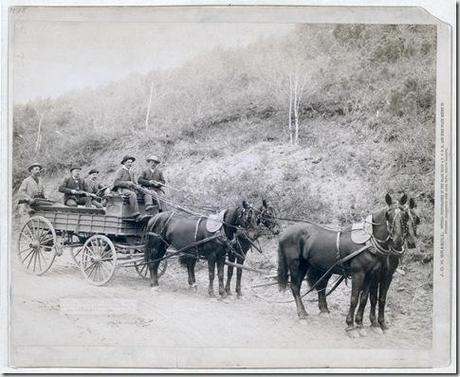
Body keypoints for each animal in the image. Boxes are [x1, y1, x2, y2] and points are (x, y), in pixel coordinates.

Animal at [274, 192, 418, 330]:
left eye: (407, 216)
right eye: (388, 214)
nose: (399, 240)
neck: (369, 243)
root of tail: (284, 233)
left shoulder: (374, 274)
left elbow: (366, 298)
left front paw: (361, 323)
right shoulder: (359, 273)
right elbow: (355, 298)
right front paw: (351, 325)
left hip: (318, 267)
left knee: (320, 286)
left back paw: (324, 311)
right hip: (296, 265)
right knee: (295, 287)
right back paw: (302, 314)